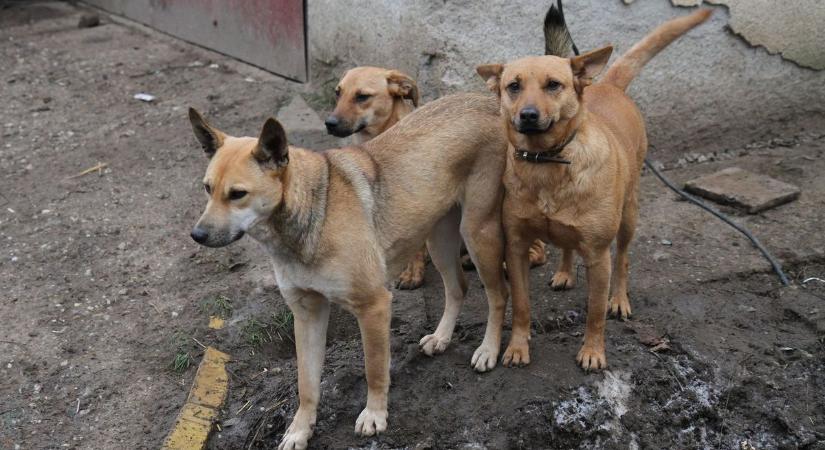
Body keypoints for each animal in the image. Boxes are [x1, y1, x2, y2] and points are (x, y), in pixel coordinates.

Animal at [187, 92, 508, 450]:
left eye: (238, 194)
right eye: (207, 188)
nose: (197, 235)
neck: (313, 214)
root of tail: (485, 99)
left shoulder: (374, 306)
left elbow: (375, 369)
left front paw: (375, 415)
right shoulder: (307, 313)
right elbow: (306, 383)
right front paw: (300, 429)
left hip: (478, 232)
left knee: (498, 295)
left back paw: (489, 350)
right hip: (439, 239)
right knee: (457, 288)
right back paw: (441, 337)